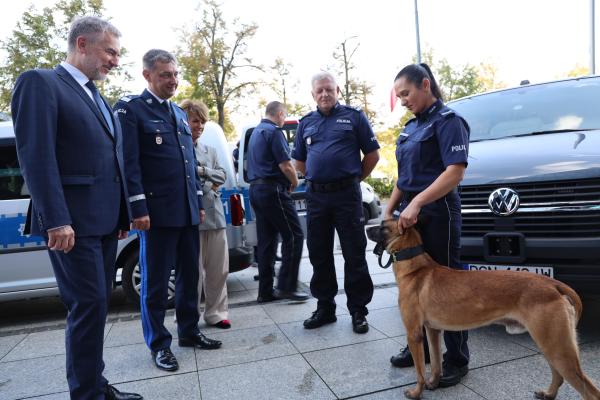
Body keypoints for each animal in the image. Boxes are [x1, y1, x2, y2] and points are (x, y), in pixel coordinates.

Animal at [366, 222, 600, 400]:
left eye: (383, 226)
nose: (366, 226)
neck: (416, 268)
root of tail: (553, 285)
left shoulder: (414, 333)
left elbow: (420, 371)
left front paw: (417, 392)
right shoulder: (432, 331)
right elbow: (435, 362)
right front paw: (433, 382)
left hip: (557, 347)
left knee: (589, 390)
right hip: (550, 344)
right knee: (559, 376)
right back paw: (548, 393)